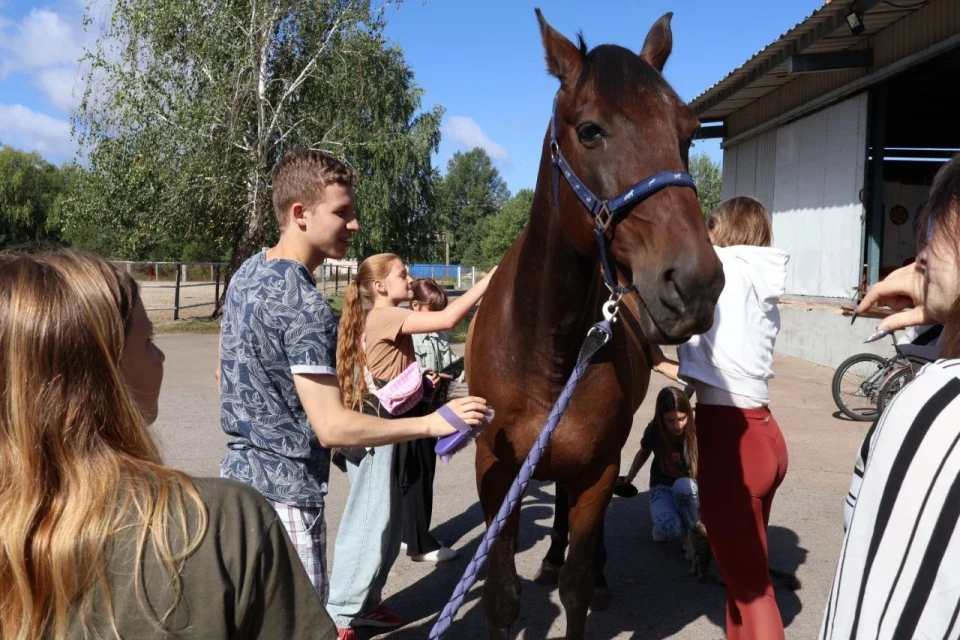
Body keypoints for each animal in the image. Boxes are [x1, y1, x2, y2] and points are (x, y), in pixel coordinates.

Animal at [468, 10, 724, 640]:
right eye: (589, 131)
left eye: (688, 133)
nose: (696, 284)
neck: (547, 351)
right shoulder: (496, 473)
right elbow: (501, 597)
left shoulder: (599, 468)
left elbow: (578, 587)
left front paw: (589, 575)